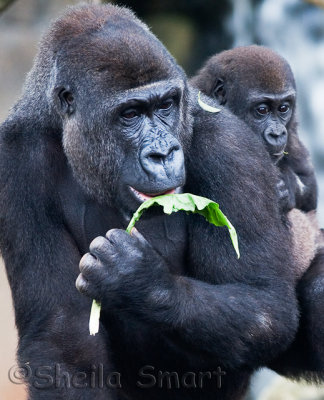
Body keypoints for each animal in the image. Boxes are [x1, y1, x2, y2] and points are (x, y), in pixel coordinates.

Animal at [0, 3, 298, 400]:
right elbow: (62, 339)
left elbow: (265, 305)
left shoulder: (229, 145)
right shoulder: (14, 160)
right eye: (130, 114)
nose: (164, 153)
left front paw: (137, 280)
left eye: (167, 105)